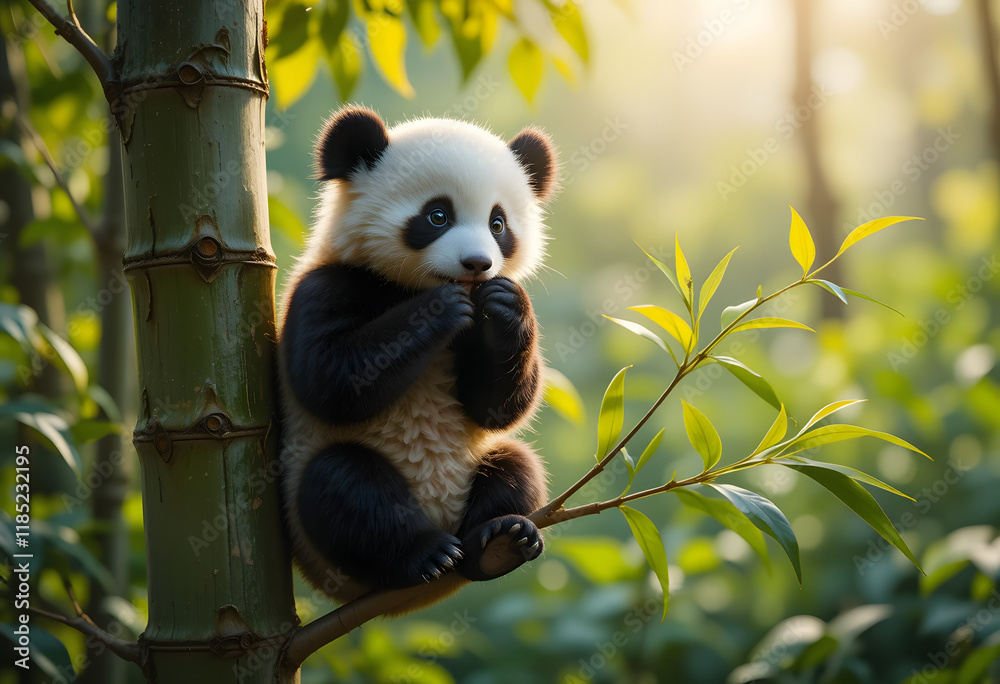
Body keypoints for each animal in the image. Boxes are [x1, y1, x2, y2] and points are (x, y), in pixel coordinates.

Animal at [276, 105, 557, 613]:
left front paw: (506, 303)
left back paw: (499, 542)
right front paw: (440, 308)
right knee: (345, 487)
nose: (477, 264)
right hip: (318, 522)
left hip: (477, 473)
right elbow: (330, 381)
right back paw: (422, 554)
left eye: (498, 224)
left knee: (516, 465)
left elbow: (496, 408)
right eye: (437, 215)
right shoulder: (328, 284)